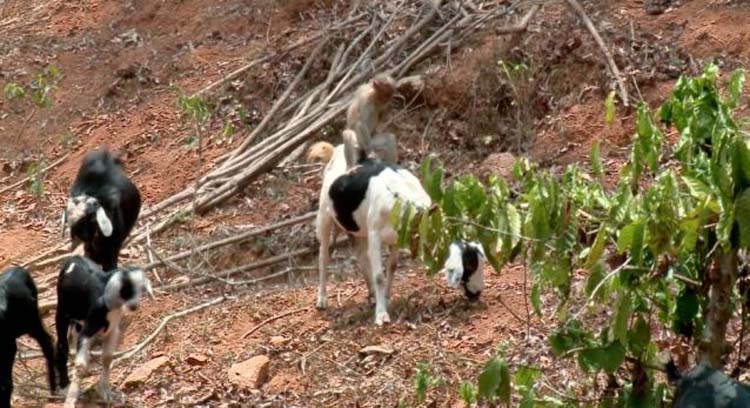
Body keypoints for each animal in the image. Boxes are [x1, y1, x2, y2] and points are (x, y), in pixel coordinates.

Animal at [55, 255, 153, 402]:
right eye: (125, 290)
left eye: (140, 288)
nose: (134, 306)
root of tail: (73, 258)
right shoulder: (89, 327)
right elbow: (80, 365)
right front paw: (71, 400)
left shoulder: (113, 330)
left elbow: (107, 358)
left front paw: (105, 392)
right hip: (62, 311)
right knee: (61, 343)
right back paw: (64, 385)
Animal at [312, 132, 432, 326]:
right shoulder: (375, 234)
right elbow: (379, 276)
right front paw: (381, 315)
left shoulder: (394, 237)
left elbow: (392, 266)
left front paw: (386, 298)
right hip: (324, 217)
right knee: (324, 257)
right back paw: (322, 299)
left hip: (360, 228)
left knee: (361, 256)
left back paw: (372, 293)